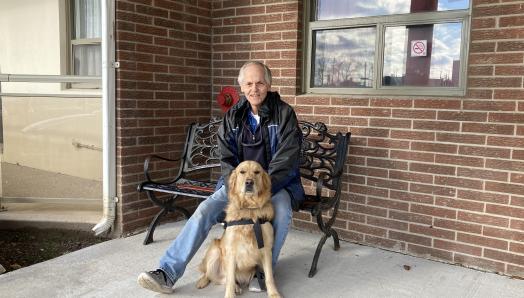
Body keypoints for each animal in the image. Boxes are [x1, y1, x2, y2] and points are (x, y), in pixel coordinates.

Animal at [194, 161, 280, 298]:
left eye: (257, 172)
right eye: (242, 172)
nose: (249, 182)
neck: (249, 210)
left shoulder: (266, 250)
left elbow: (269, 277)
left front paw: (273, 293)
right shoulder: (231, 251)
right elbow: (230, 279)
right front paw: (230, 294)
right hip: (215, 251)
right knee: (211, 275)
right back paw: (203, 282)